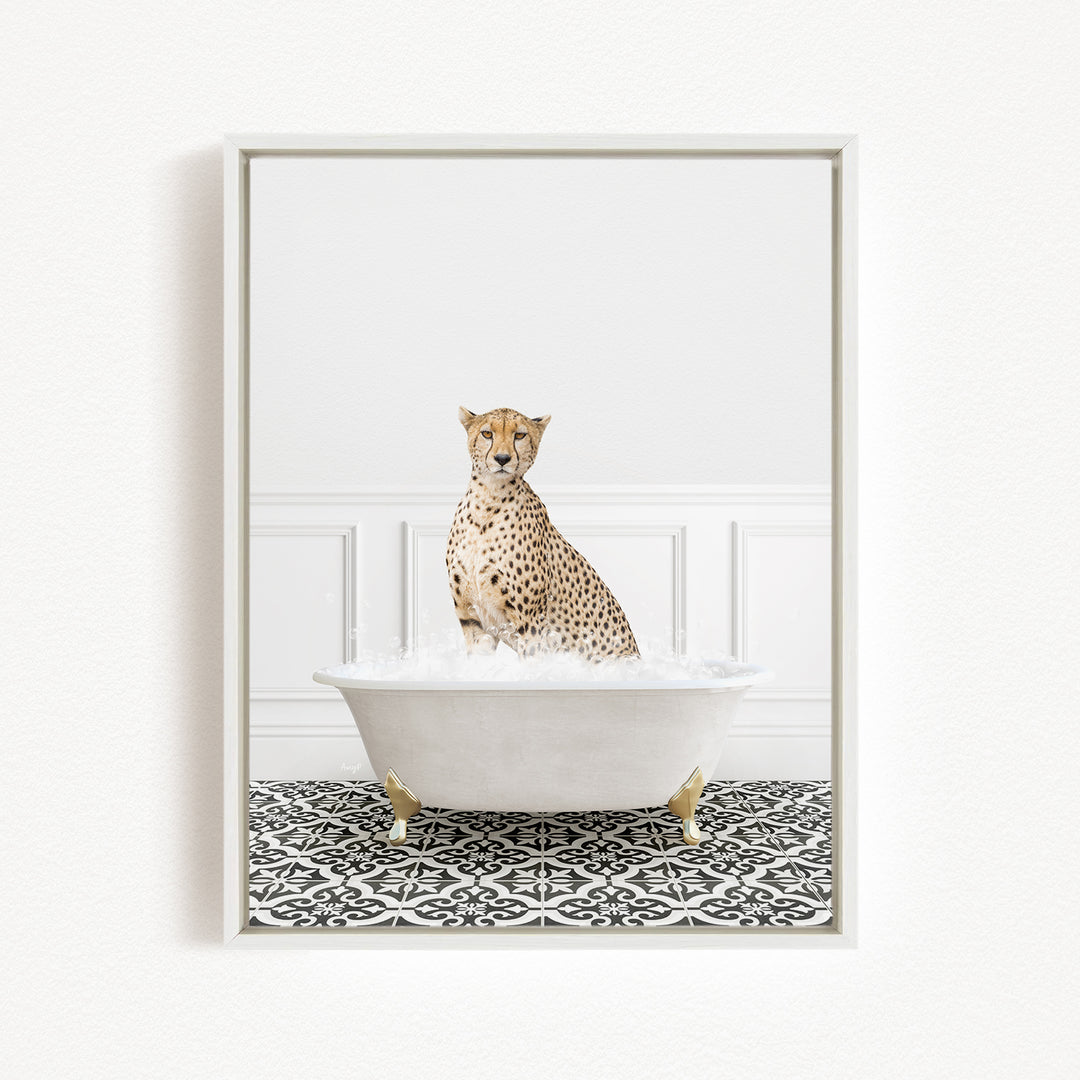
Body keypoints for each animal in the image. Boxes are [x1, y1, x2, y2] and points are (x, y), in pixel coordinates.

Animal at [446, 406, 639, 662]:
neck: (488, 500)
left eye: (519, 435)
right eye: (487, 433)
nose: (502, 459)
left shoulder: (531, 625)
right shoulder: (473, 621)